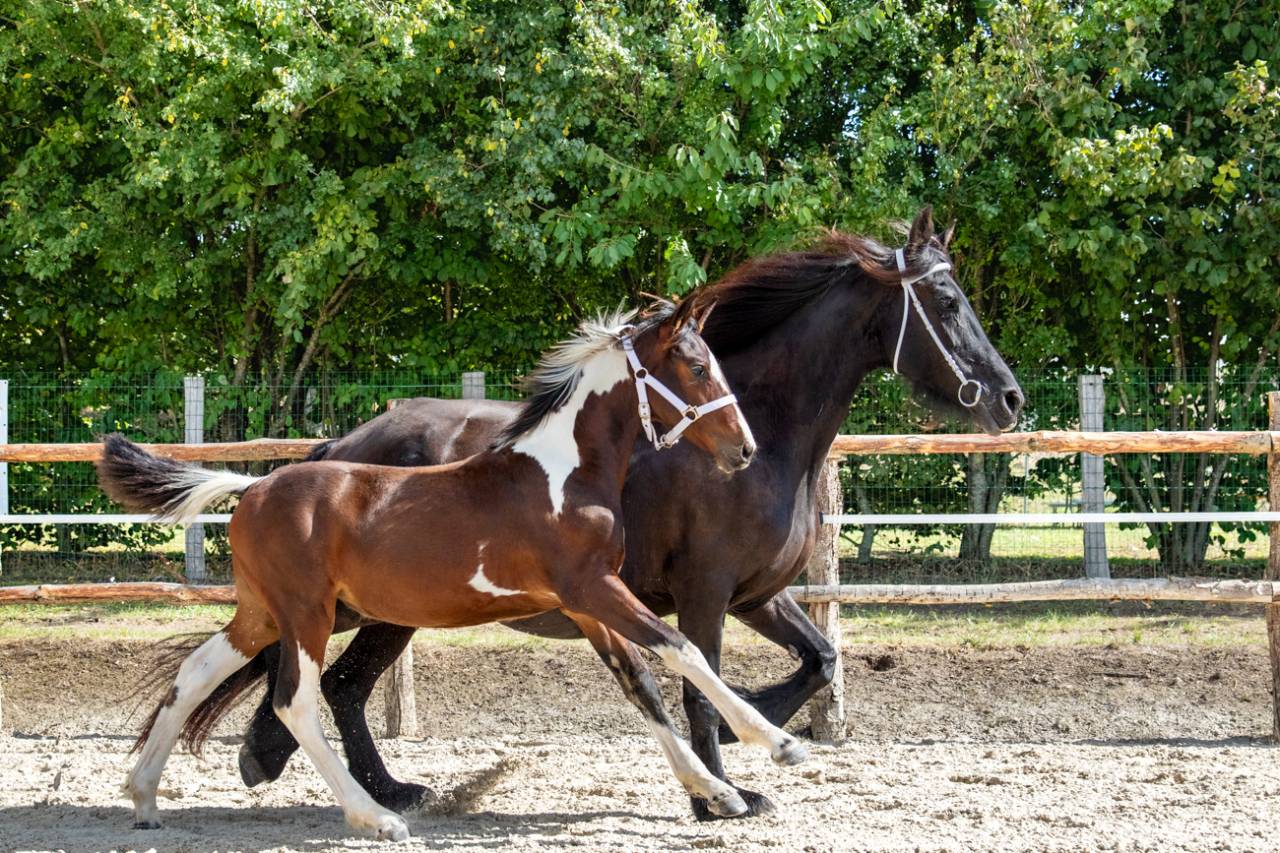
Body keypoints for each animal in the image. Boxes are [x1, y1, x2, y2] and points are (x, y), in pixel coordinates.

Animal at [97, 296, 813, 840]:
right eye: (695, 365)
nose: (743, 449)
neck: (565, 474)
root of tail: (252, 489)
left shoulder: (587, 603)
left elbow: (642, 685)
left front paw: (716, 791)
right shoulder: (595, 587)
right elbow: (681, 650)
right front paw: (777, 745)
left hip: (263, 611)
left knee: (197, 673)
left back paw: (144, 797)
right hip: (307, 611)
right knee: (296, 697)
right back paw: (378, 815)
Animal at [195, 207, 1025, 820]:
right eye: (947, 303)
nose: (1010, 398)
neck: (762, 439)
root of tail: (344, 442)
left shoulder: (759, 594)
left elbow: (817, 659)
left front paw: (750, 734)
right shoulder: (705, 591)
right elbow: (698, 678)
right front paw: (726, 785)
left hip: (389, 608)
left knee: (334, 683)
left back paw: (374, 785)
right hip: (365, 604)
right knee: (302, 670)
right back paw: (280, 759)